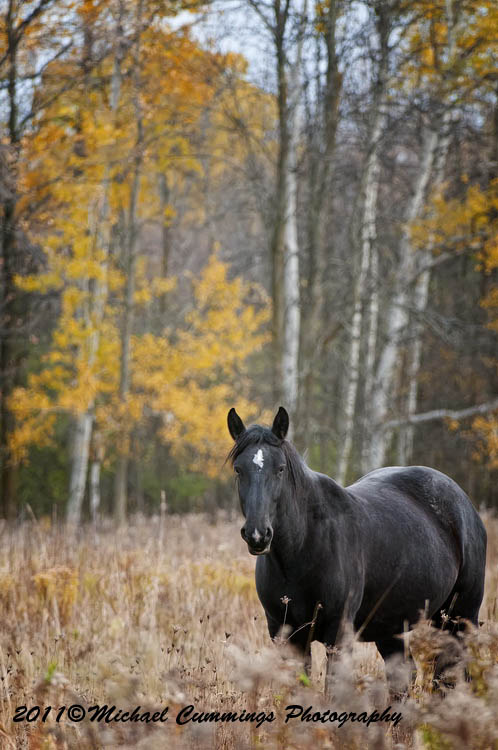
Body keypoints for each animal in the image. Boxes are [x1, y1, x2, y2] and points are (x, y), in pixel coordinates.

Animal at [227, 406, 487, 693]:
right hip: (392, 627)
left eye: (280, 469)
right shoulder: (286, 635)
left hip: (461, 615)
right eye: (238, 470)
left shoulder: (338, 635)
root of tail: (461, 500)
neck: (303, 550)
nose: (258, 535)